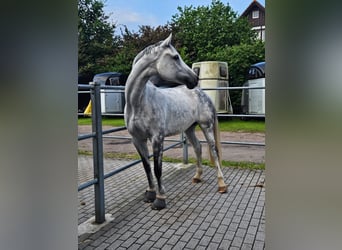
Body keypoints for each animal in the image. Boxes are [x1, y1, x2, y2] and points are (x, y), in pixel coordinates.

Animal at [123, 33, 227, 209]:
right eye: (175, 57)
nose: (194, 78)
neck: (138, 102)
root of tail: (202, 93)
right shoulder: (137, 139)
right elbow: (146, 167)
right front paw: (150, 194)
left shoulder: (157, 139)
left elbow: (157, 169)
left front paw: (160, 199)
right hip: (189, 129)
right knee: (198, 147)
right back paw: (197, 177)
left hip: (206, 126)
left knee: (214, 151)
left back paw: (222, 185)